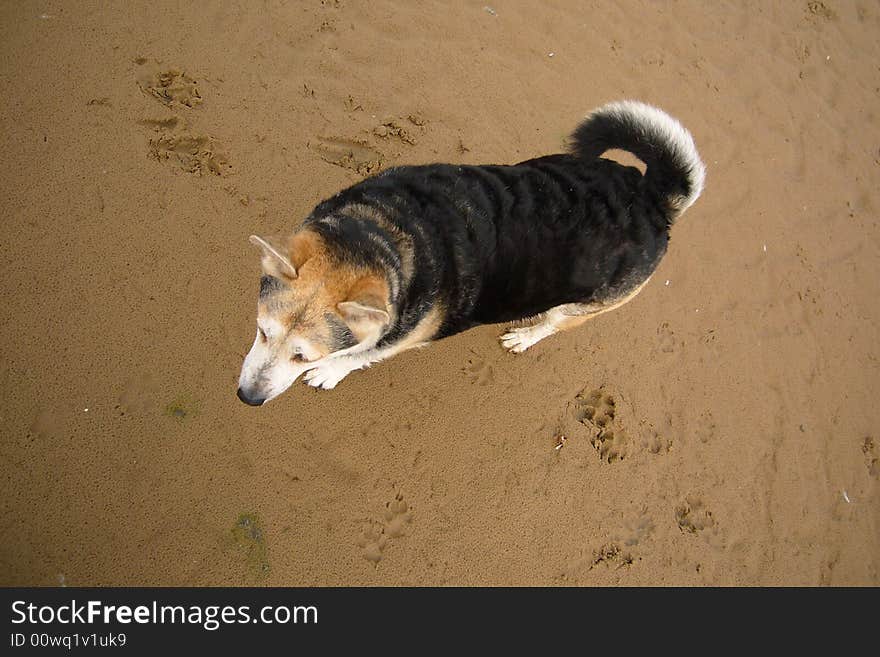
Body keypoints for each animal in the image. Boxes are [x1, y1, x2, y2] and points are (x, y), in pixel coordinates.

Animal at [234, 100, 700, 404]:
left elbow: (363, 353)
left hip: (586, 306)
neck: (384, 231)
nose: (247, 398)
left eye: (303, 356)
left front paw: (331, 371)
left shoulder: (400, 336)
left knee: (553, 323)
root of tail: (653, 199)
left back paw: (525, 336)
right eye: (261, 331)